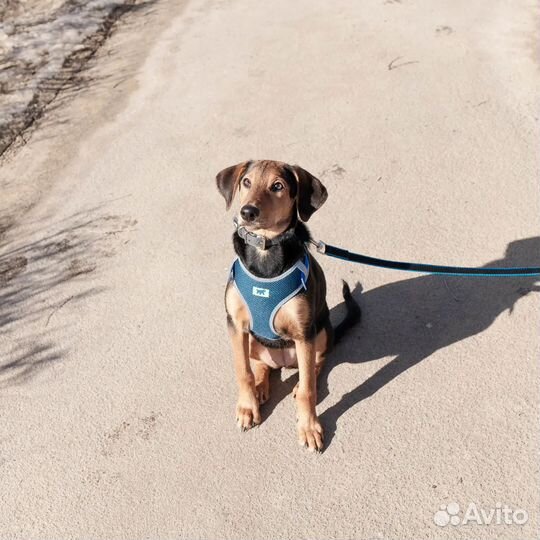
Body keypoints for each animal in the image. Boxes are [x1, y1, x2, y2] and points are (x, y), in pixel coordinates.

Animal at [214, 160, 358, 452]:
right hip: (254, 340)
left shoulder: (303, 331)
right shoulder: (235, 324)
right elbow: (243, 371)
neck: (265, 249)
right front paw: (247, 407)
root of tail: (283, 360)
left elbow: (308, 391)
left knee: (315, 365)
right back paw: (261, 386)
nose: (248, 212)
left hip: (320, 331)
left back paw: (301, 380)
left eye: (277, 186)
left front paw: (309, 427)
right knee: (260, 365)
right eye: (246, 182)